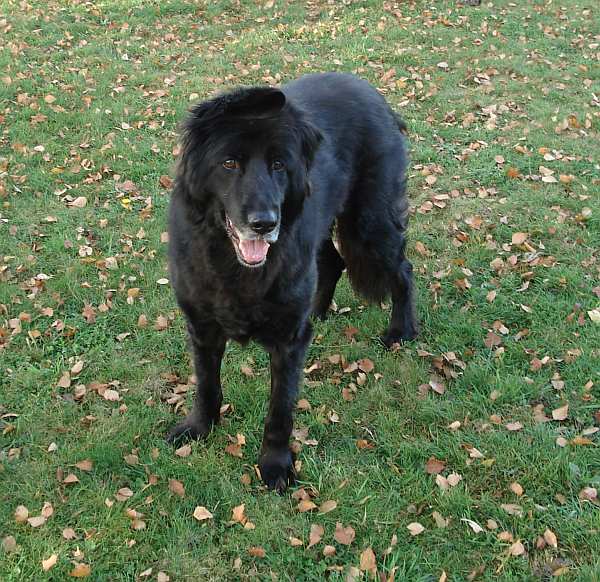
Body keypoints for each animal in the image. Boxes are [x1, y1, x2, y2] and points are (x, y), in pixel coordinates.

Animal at [167, 72, 417, 491]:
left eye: (279, 165)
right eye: (229, 163)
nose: (265, 223)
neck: (235, 266)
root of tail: (372, 94)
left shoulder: (287, 344)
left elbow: (280, 410)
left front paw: (275, 464)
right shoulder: (202, 327)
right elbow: (206, 385)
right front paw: (200, 428)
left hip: (370, 225)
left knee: (403, 271)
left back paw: (402, 330)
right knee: (333, 261)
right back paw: (318, 311)